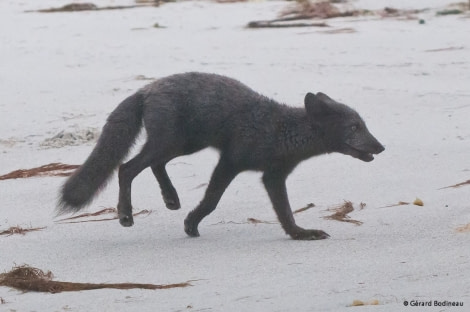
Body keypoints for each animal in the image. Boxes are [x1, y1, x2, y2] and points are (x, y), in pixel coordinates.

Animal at [57, 72, 384, 240]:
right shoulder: (231, 161)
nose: (381, 147)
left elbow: (285, 212)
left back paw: (171, 199)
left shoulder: (273, 175)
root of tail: (146, 88)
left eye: (363, 125)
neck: (280, 130)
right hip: (172, 142)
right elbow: (212, 200)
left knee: (154, 165)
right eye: (355, 127)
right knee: (127, 167)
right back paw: (126, 214)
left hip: (184, 145)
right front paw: (191, 225)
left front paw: (299, 233)